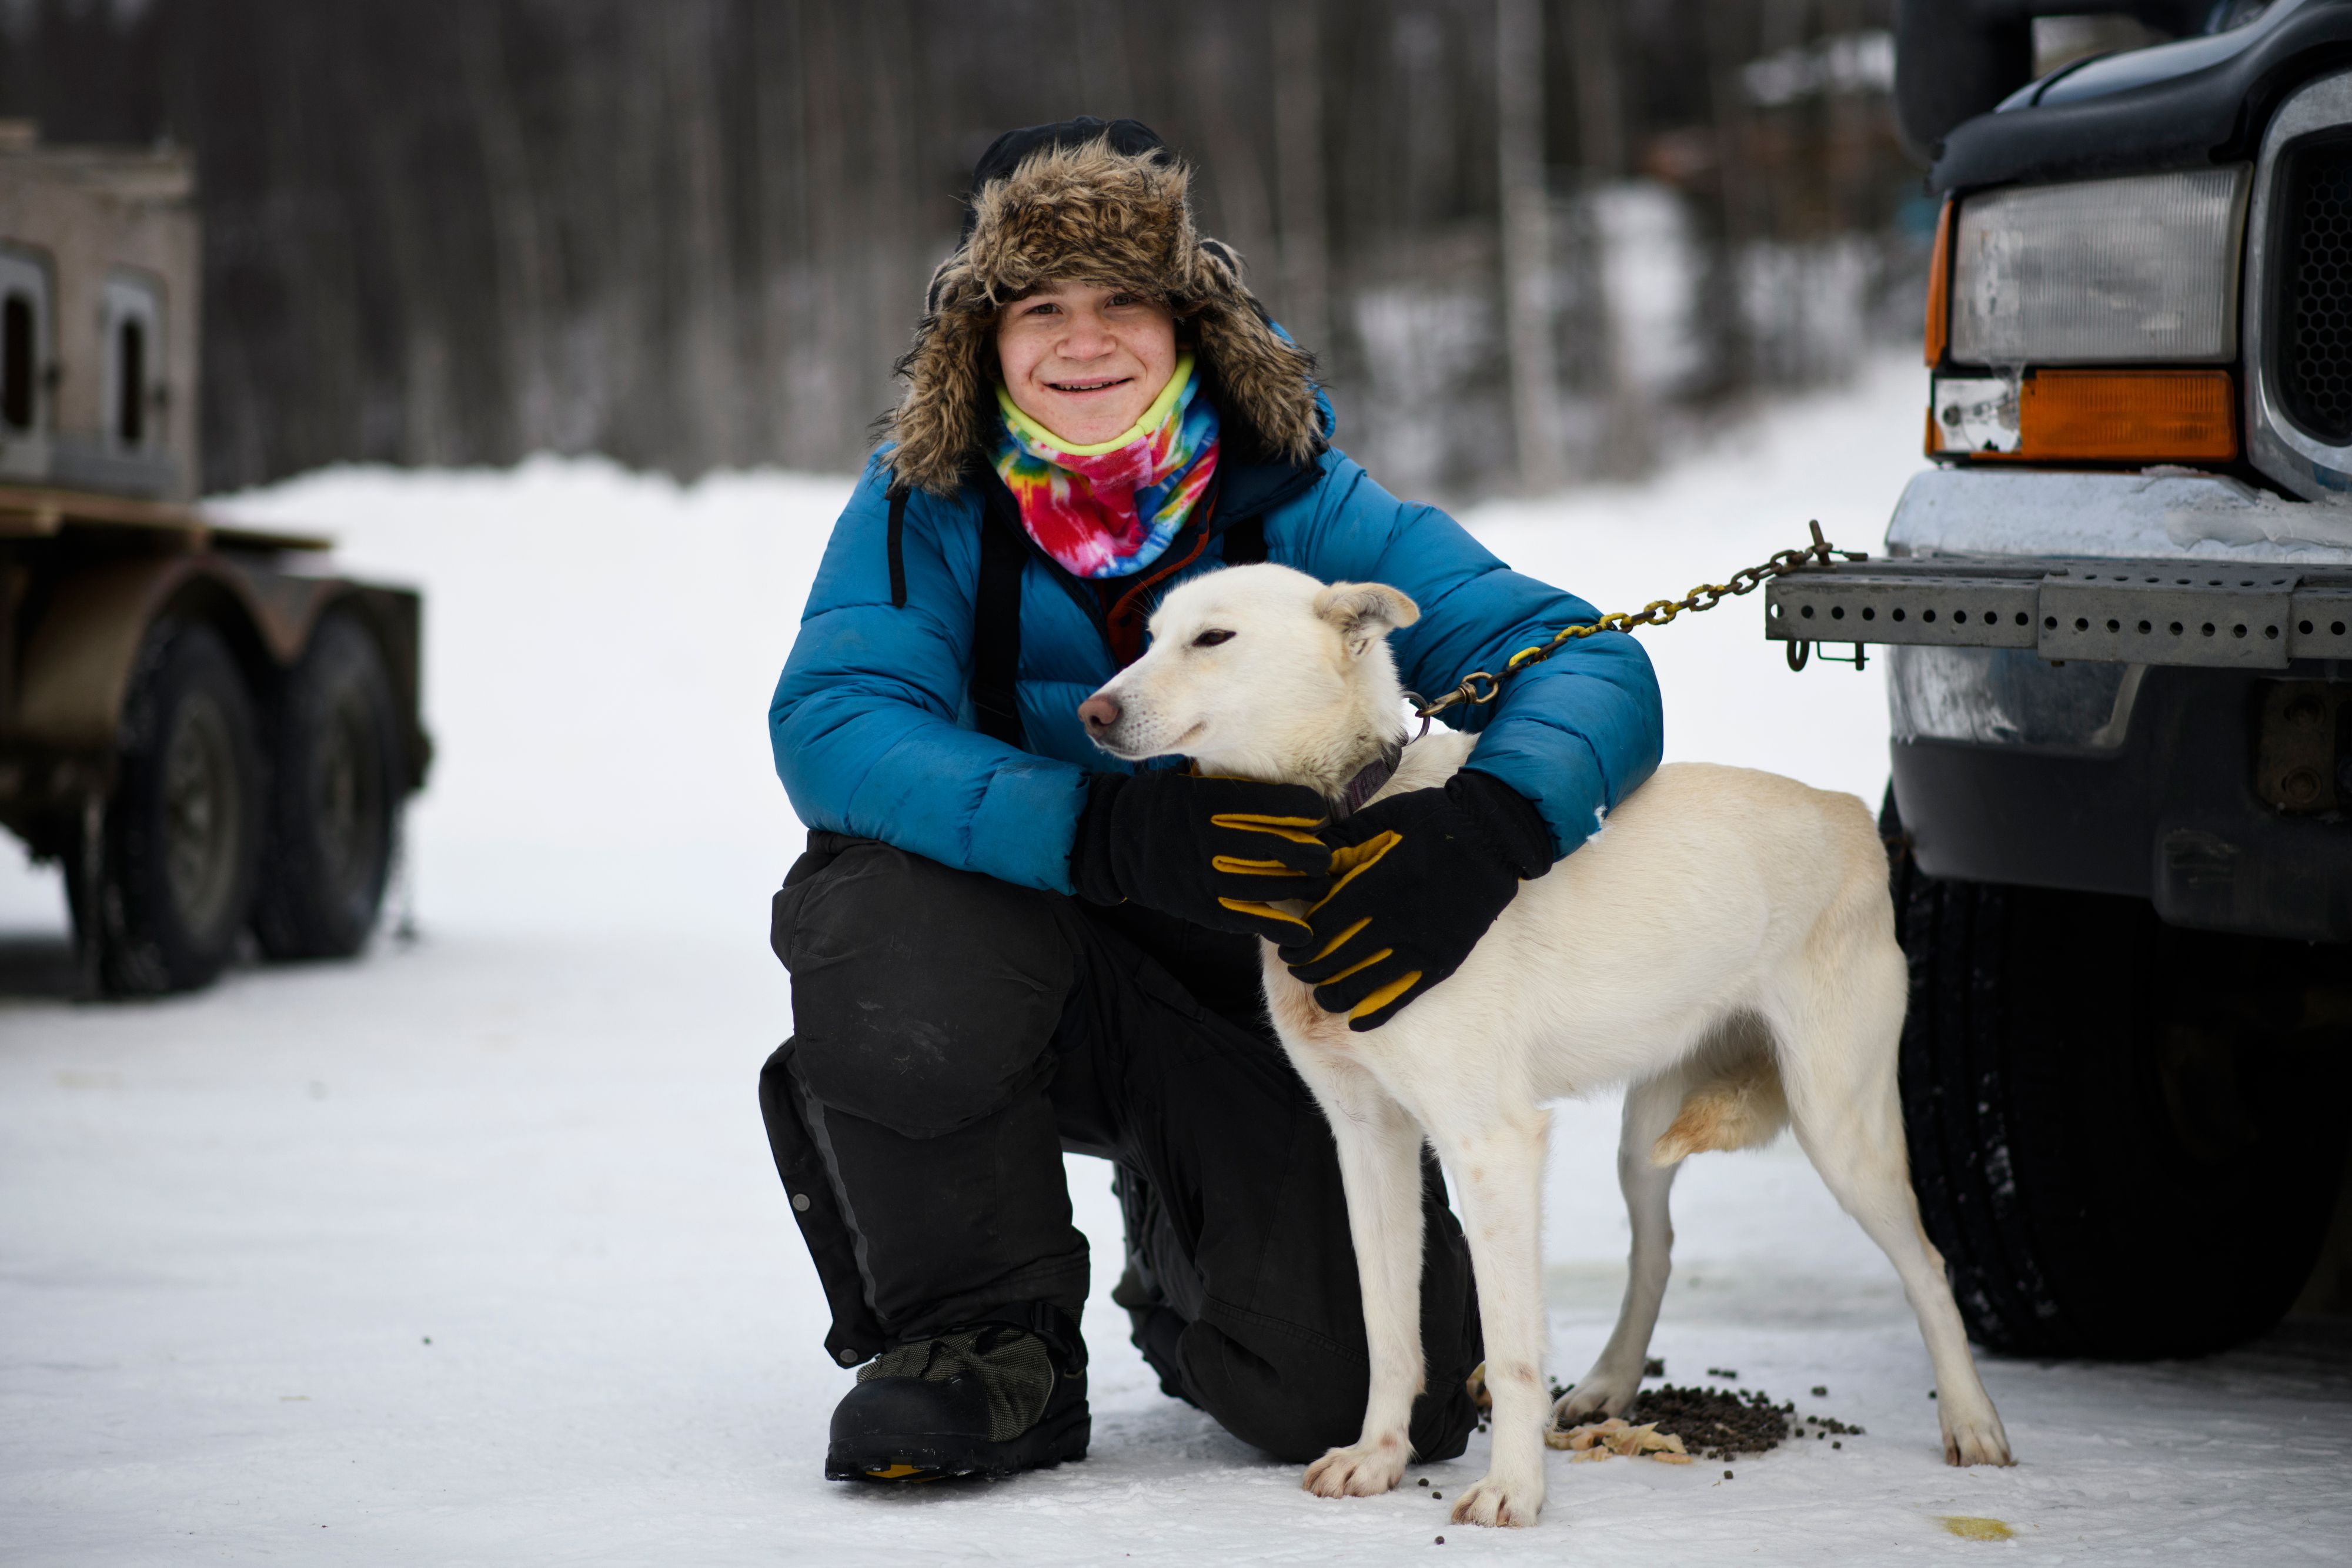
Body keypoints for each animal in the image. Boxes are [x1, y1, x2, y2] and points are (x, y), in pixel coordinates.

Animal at [1077, 564, 2013, 1533]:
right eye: (1150, 637)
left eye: (1213, 638)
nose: (1092, 714)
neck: (1343, 829)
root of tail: (1851, 816)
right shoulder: (1368, 1141)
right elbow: (1387, 1329)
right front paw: (1379, 1457)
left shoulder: (1492, 1146)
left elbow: (1514, 1352)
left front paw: (1513, 1490)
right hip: (1645, 1140)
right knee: (1655, 1250)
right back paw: (1608, 1384)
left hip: (1840, 1127)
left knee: (1930, 1264)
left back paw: (1972, 1421)